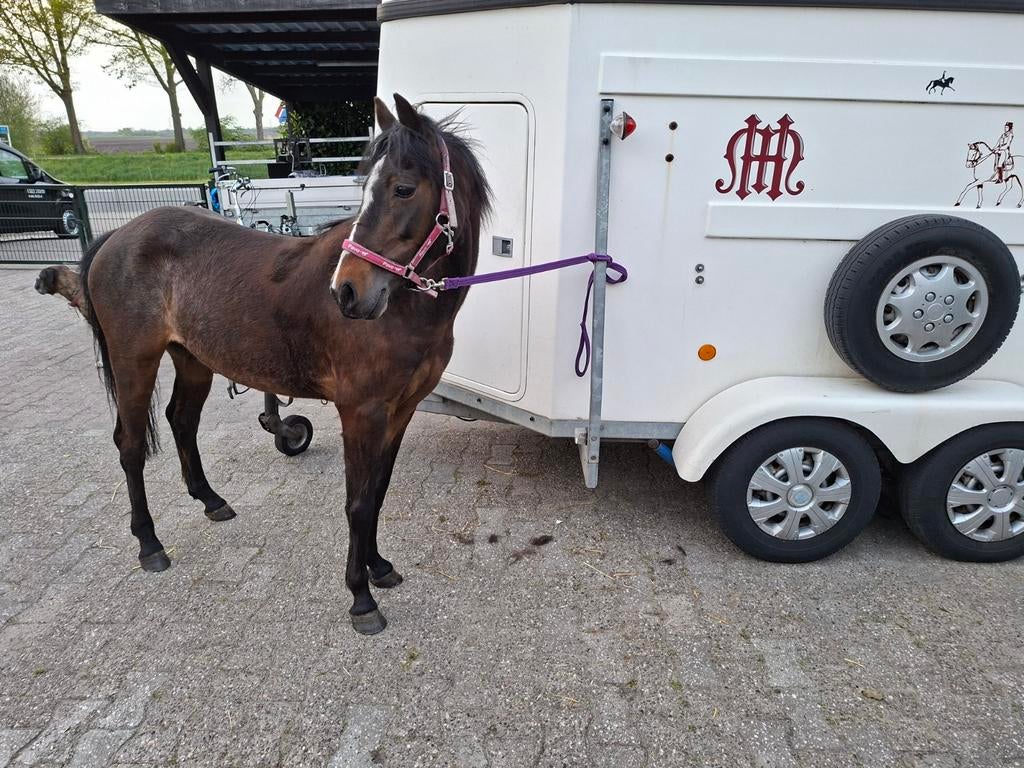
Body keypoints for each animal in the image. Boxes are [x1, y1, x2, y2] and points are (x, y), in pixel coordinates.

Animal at [65, 94, 491, 635]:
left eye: (403, 188)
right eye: (367, 187)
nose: (346, 292)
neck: (403, 309)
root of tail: (118, 236)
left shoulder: (400, 412)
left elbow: (377, 491)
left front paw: (379, 568)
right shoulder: (361, 413)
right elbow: (357, 502)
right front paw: (361, 598)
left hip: (193, 360)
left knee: (181, 422)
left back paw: (212, 502)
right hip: (133, 360)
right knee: (131, 444)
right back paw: (150, 544)